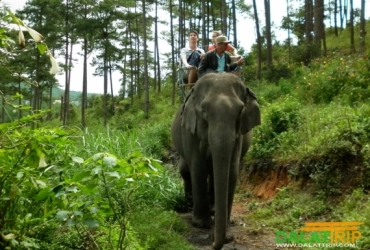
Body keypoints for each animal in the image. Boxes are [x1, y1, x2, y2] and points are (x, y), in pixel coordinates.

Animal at [171, 71, 260, 249]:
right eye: (204, 110)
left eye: (240, 110)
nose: (213, 242)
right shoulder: (190, 131)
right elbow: (198, 168)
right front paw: (201, 224)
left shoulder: (238, 135)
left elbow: (232, 171)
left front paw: (224, 226)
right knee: (185, 170)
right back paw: (191, 205)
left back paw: (213, 210)